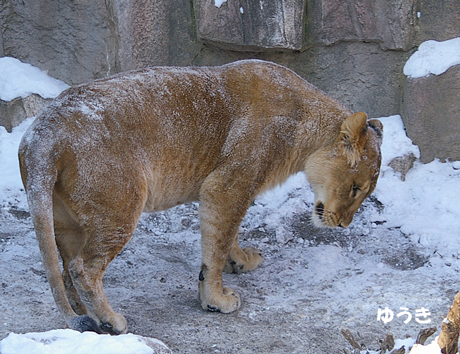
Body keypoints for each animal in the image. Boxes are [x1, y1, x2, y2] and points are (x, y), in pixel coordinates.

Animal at [18, 60, 382, 334]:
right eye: (355, 188)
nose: (343, 225)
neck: (304, 126)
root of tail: (43, 133)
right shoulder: (226, 185)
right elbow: (217, 245)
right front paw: (217, 299)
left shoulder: (235, 189)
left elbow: (230, 233)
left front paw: (240, 260)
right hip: (120, 208)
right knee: (82, 267)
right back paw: (110, 321)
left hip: (66, 220)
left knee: (65, 268)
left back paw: (85, 315)